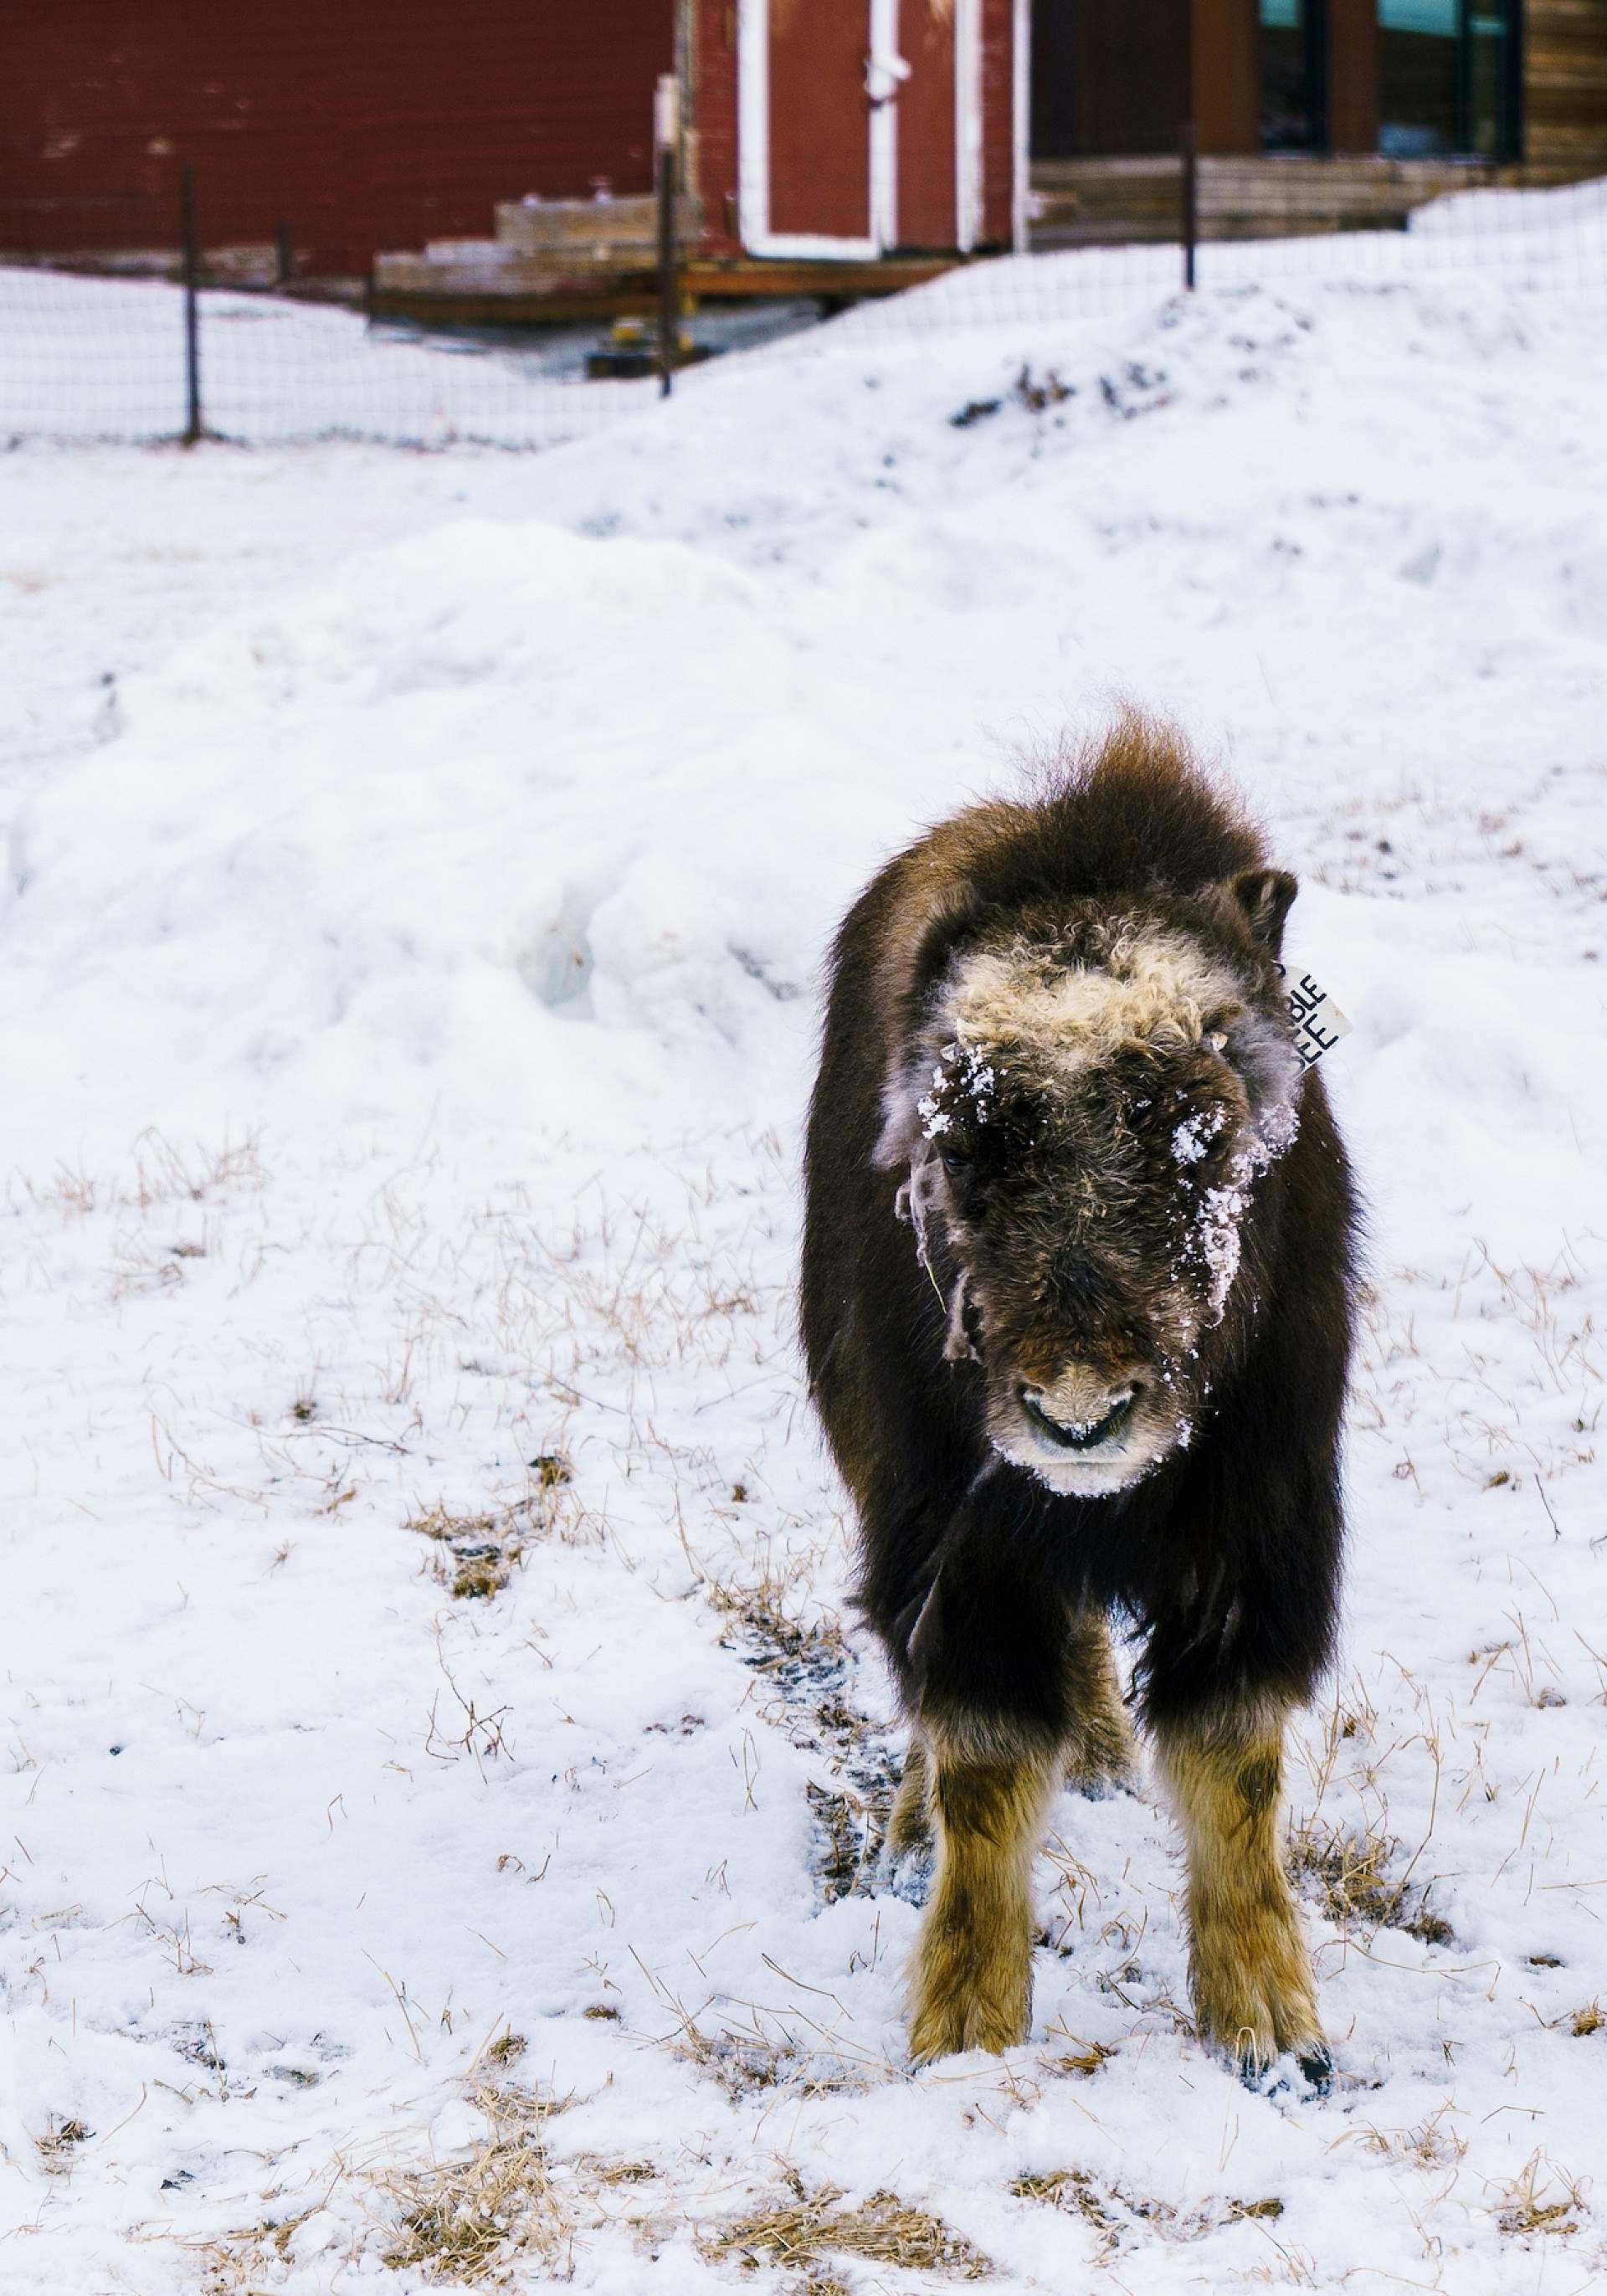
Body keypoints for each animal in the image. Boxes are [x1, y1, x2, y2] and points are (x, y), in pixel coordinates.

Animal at [804, 716, 1358, 2084]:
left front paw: (1272, 2032)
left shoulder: (1262, 1520)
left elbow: (1233, 1761)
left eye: (1203, 1129)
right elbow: (985, 1759)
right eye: (963, 1137)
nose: (1079, 1414)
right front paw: (964, 2035)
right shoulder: (951, 1523)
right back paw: (921, 1838)